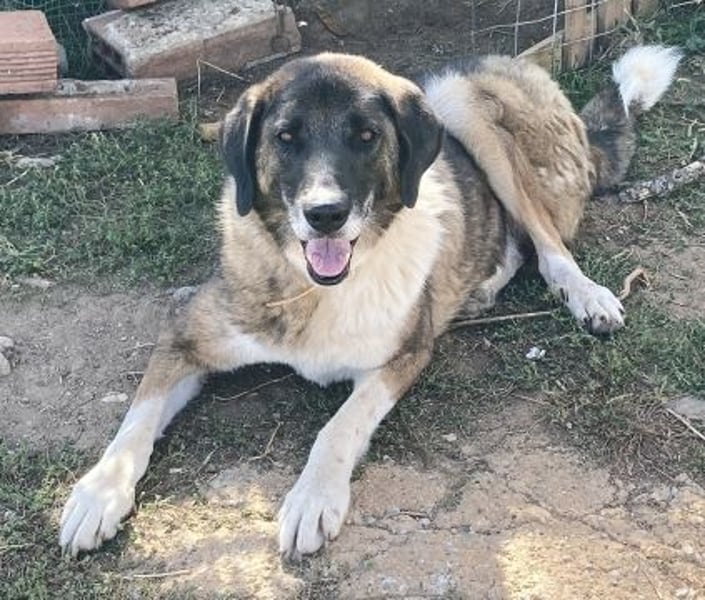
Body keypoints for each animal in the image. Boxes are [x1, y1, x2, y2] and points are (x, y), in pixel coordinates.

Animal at [59, 45, 680, 558]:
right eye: (285, 137)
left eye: (365, 136)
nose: (325, 214)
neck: (314, 289)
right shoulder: (186, 333)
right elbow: (135, 421)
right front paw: (96, 495)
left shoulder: (402, 356)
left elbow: (340, 425)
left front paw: (313, 498)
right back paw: (480, 288)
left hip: (462, 100)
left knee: (548, 243)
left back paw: (586, 295)